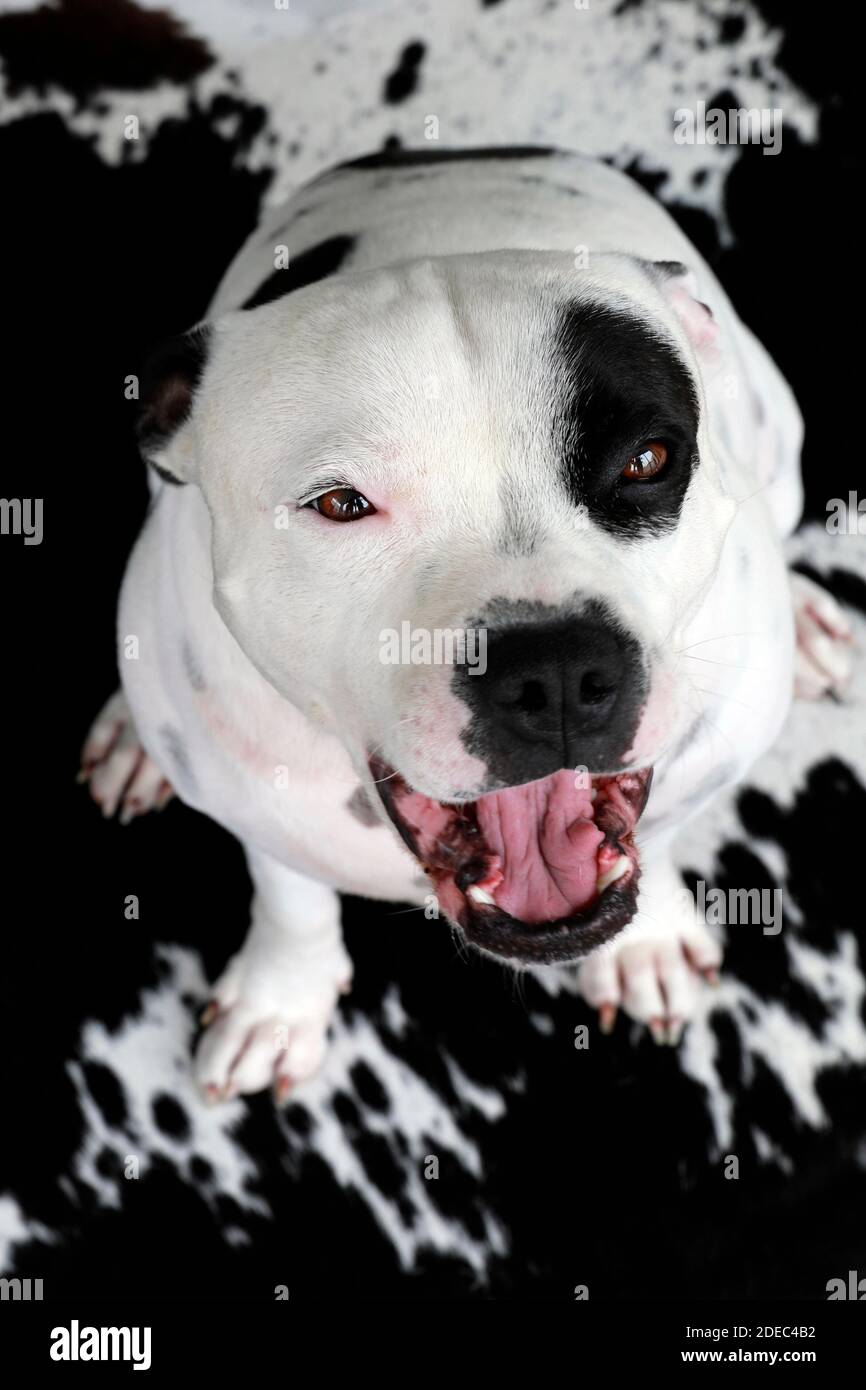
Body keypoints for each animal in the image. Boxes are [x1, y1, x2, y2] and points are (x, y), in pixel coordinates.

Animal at [81, 141, 856, 1095]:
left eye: (647, 460)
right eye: (340, 504)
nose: (555, 672)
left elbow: (666, 832)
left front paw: (648, 943)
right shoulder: (252, 805)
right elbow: (290, 896)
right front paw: (281, 1001)